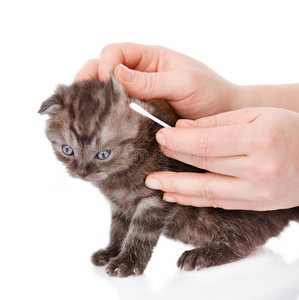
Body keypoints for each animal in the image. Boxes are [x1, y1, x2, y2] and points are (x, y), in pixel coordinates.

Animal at [38, 77, 298, 276]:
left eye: (103, 154)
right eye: (67, 150)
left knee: (242, 243)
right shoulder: (120, 206)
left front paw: (127, 263)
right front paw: (111, 252)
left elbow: (139, 233)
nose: (81, 172)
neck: (120, 175)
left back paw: (200, 255)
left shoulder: (155, 199)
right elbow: (118, 229)